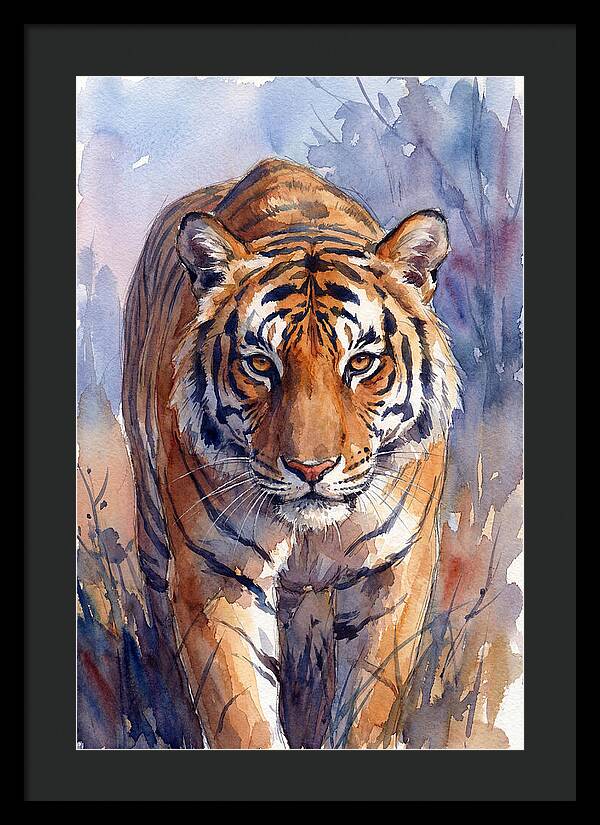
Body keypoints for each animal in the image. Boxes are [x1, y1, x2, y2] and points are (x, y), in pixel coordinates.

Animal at [122, 158, 460, 749]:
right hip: (153, 524)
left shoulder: (395, 568)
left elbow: (370, 701)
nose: (310, 468)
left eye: (361, 363)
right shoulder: (217, 570)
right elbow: (240, 714)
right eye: (261, 364)